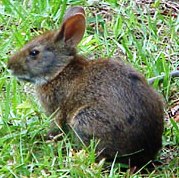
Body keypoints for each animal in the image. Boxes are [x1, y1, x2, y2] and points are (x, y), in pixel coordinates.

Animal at [8, 5, 164, 167]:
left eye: (34, 52)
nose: (9, 65)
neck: (59, 70)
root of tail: (145, 152)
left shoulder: (57, 110)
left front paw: (47, 137)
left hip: (84, 120)